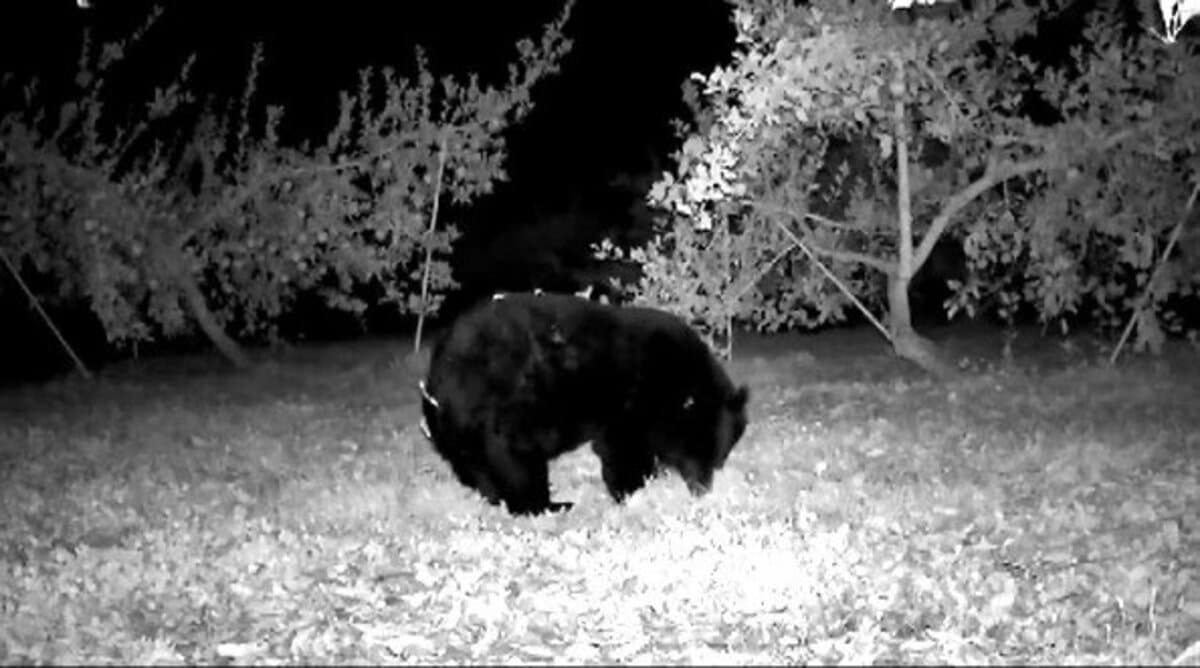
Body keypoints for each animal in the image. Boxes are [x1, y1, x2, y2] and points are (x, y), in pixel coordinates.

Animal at [418, 292, 750, 515]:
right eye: (700, 453)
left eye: (718, 459)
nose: (702, 490)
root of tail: (437, 377)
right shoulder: (631, 403)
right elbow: (623, 449)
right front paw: (632, 489)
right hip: (506, 412)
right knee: (516, 463)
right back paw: (551, 504)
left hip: (465, 432)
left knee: (477, 467)